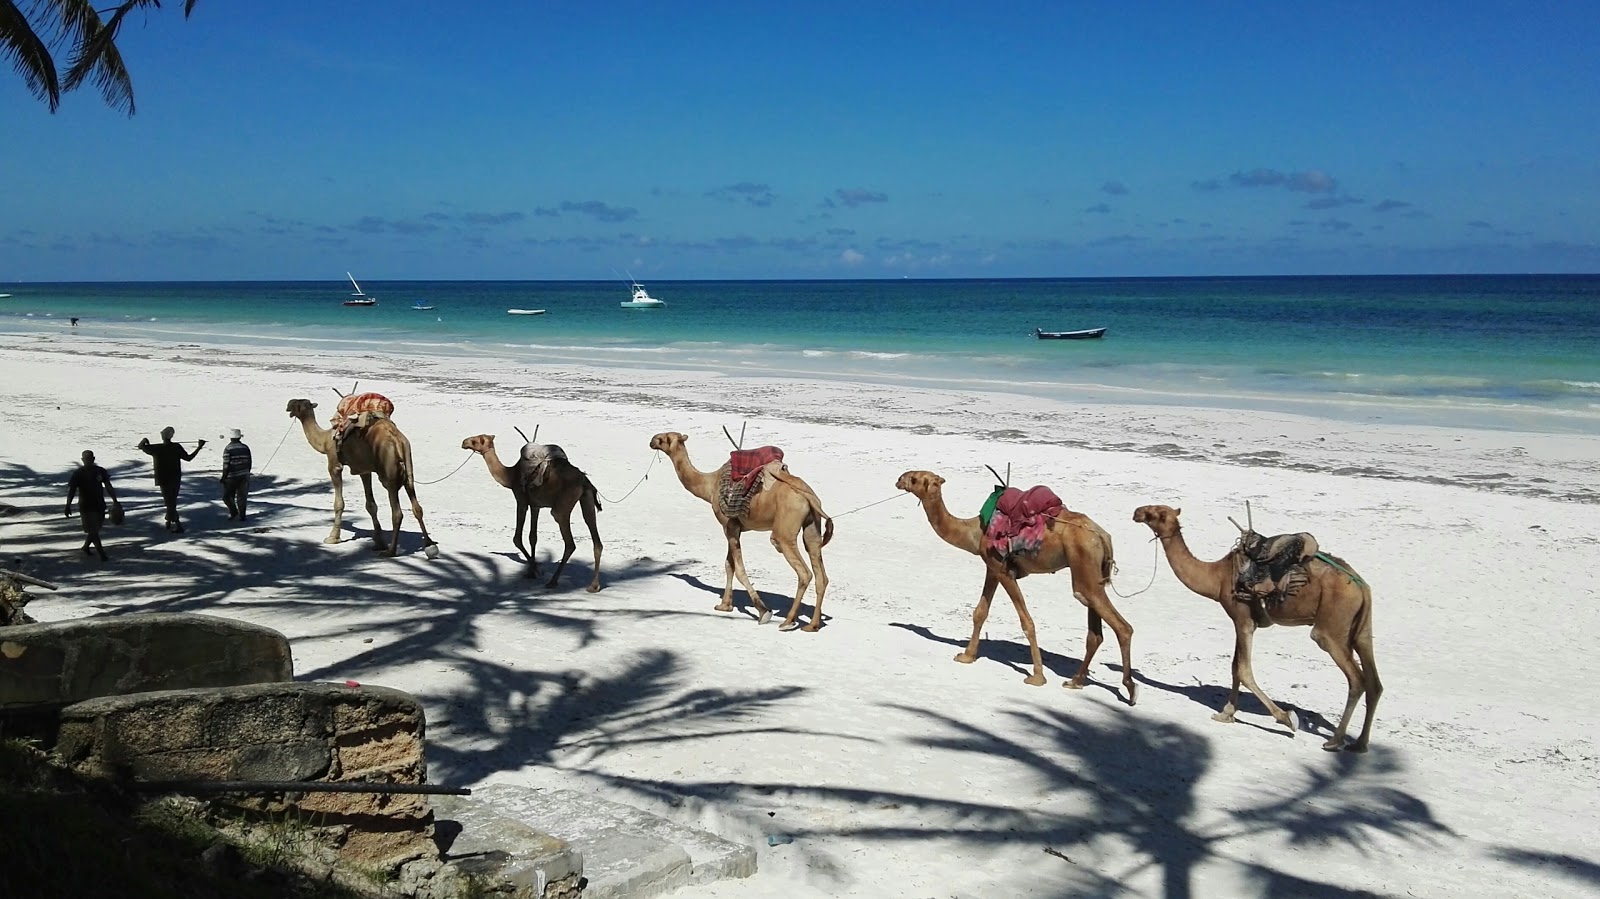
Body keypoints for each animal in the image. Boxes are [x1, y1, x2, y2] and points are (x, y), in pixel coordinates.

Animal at [281, 396, 432, 553]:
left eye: (297, 403)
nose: (288, 404)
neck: (325, 440)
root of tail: (398, 441)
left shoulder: (334, 464)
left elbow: (339, 503)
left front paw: (333, 537)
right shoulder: (364, 469)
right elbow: (371, 505)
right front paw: (378, 542)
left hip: (388, 471)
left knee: (397, 512)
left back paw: (391, 551)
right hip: (408, 465)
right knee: (416, 505)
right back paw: (429, 545)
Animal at [460, 431, 601, 591]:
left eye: (475, 440)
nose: (464, 442)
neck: (510, 475)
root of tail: (584, 481)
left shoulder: (521, 500)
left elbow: (517, 538)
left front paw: (535, 570)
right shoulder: (535, 505)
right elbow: (533, 537)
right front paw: (532, 570)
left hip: (562, 506)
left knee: (570, 542)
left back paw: (553, 581)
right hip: (587, 499)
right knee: (594, 535)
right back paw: (593, 585)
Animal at [646, 428, 832, 630]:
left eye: (664, 438)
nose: (652, 441)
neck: (710, 485)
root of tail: (809, 496)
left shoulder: (729, 525)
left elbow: (740, 569)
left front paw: (763, 611)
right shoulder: (732, 527)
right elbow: (729, 565)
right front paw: (724, 605)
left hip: (785, 529)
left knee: (802, 571)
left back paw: (788, 621)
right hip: (812, 525)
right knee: (820, 571)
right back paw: (812, 625)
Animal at [902, 470, 1139, 700]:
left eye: (914, 478)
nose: (899, 479)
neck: (975, 531)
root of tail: (1103, 536)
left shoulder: (1003, 571)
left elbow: (1026, 621)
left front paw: (1037, 677)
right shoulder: (992, 568)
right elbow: (980, 612)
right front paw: (967, 656)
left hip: (1084, 562)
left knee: (1121, 626)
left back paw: (1130, 688)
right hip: (1092, 572)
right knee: (1094, 629)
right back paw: (1076, 681)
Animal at [1132, 505, 1382, 748]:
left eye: (1155, 512)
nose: (1137, 512)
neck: (1217, 577)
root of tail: (1362, 586)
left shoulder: (1243, 618)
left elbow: (1243, 670)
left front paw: (1287, 718)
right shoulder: (1240, 621)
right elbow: (1235, 667)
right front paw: (1226, 713)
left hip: (1330, 628)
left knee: (1356, 679)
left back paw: (1335, 741)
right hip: (1360, 629)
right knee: (1374, 682)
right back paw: (1360, 743)